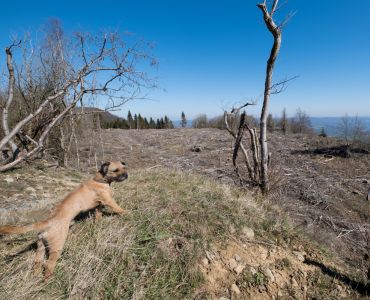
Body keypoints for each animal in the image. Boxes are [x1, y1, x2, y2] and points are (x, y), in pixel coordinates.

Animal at [0, 162, 128, 278]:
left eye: (124, 167)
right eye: (116, 170)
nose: (126, 175)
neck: (100, 180)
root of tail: (47, 223)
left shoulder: (98, 206)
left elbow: (98, 215)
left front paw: (98, 223)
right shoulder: (109, 201)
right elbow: (118, 208)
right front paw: (127, 213)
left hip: (41, 247)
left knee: (37, 262)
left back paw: (36, 277)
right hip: (57, 246)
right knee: (49, 265)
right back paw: (48, 280)